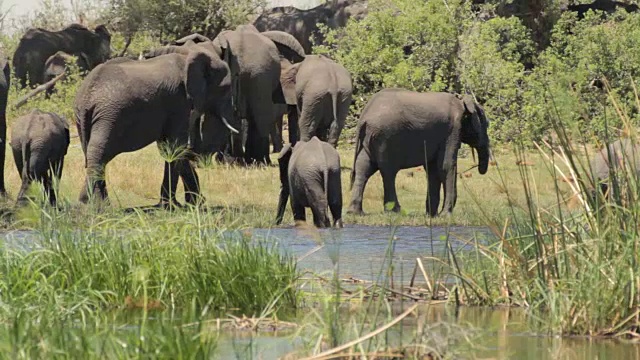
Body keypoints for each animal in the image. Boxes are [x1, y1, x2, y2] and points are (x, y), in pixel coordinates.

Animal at [73, 47, 238, 207]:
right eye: (226, 88)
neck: (187, 57)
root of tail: (87, 96)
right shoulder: (178, 101)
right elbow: (175, 147)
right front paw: (174, 206)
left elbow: (168, 148)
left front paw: (190, 203)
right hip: (109, 116)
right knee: (99, 153)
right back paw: (95, 205)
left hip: (85, 118)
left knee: (94, 155)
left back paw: (95, 204)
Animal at [344, 89, 490, 217]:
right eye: (487, 124)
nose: (480, 169)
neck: (461, 101)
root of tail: (364, 116)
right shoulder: (452, 129)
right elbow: (445, 165)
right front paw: (445, 216)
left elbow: (432, 170)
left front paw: (432, 215)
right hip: (385, 137)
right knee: (388, 171)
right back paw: (395, 211)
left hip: (370, 138)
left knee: (364, 168)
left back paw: (355, 213)